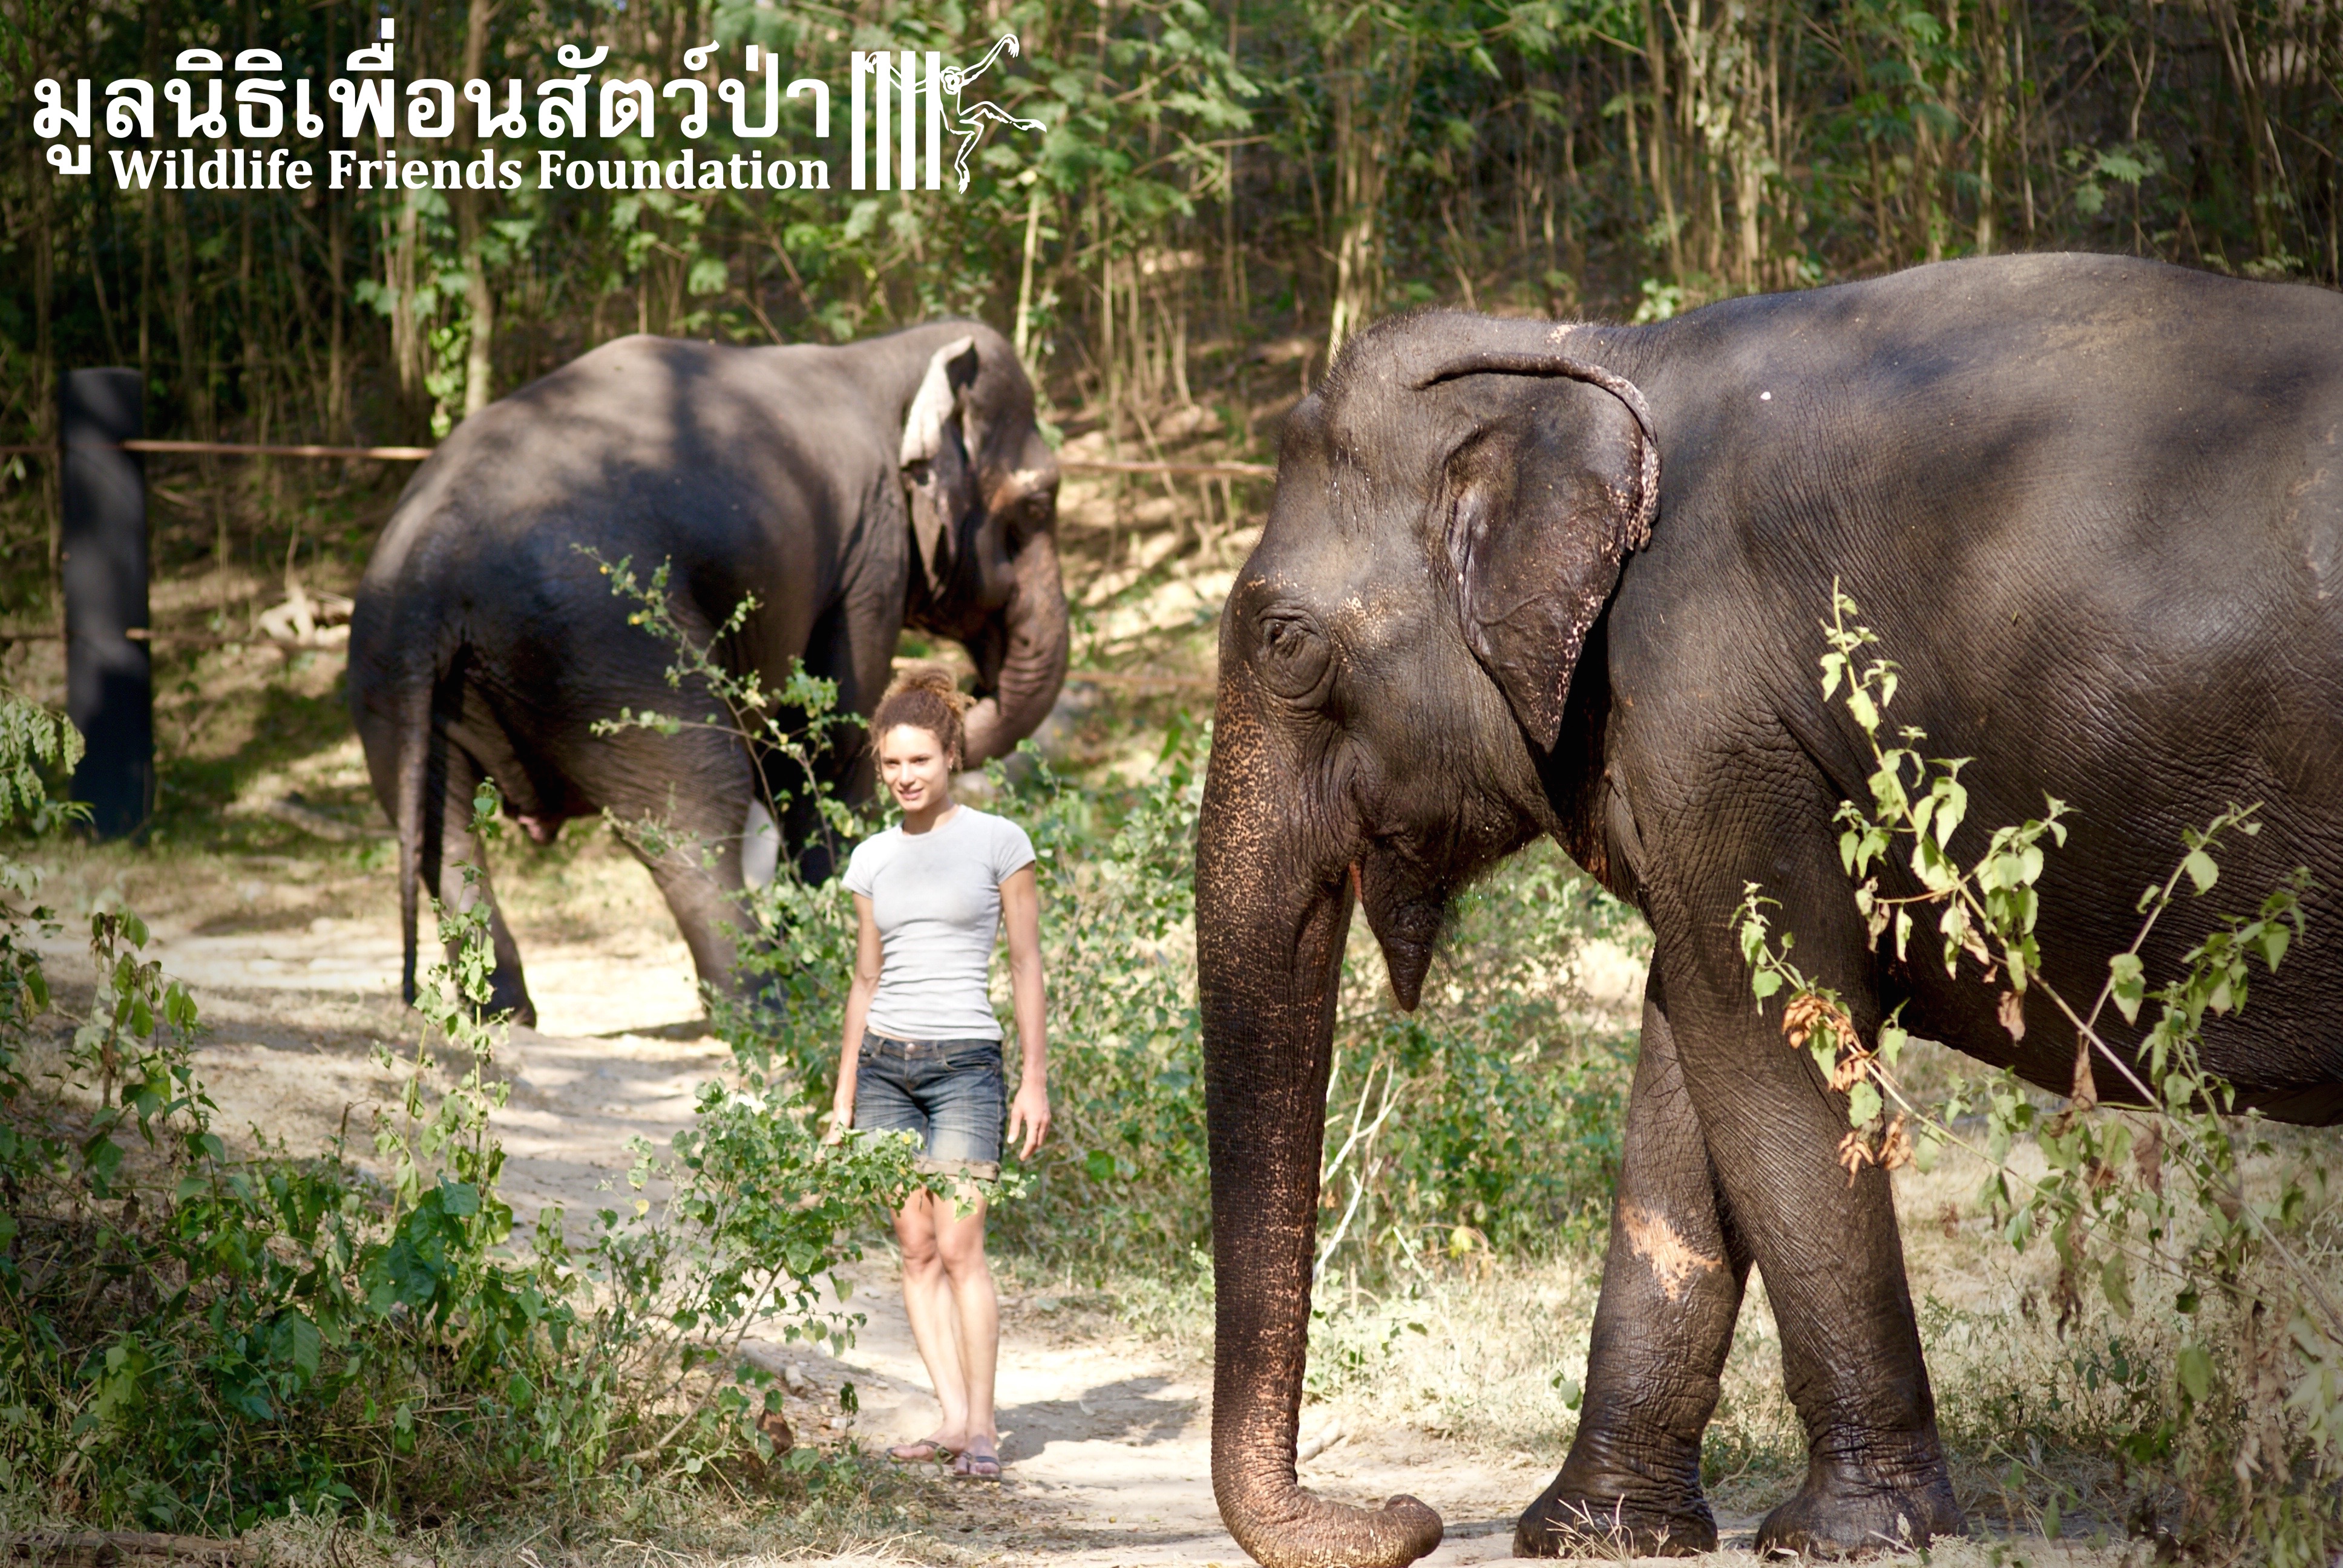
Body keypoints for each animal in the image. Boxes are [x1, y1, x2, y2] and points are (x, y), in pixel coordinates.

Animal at [350, 320, 1066, 1027]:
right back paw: (767, 1009)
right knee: (692, 808)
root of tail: (432, 555)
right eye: (1037, 505)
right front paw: (827, 957)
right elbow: (826, 746)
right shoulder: (871, 555)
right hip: (605, 650)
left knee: (442, 828)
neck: (885, 355)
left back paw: (504, 1018)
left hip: (393, 672)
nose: (966, 688)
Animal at [1195, 252, 2343, 1566]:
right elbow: (1689, 1059)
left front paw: (1844, 1534)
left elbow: (1764, 1045)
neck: (1592, 353)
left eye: (1283, 643)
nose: (1406, 1514)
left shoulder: (1713, 708)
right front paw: (1593, 1533)